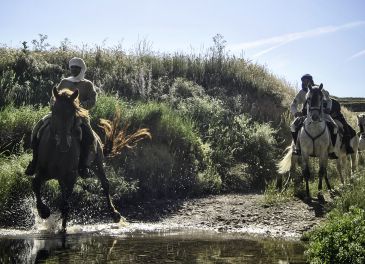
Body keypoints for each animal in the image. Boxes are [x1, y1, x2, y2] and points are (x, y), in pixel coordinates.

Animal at [32, 87, 121, 231]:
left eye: (72, 114)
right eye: (54, 111)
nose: (64, 144)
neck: (57, 152)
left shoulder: (70, 176)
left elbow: (65, 204)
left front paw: (62, 228)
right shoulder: (44, 172)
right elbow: (35, 184)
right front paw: (43, 211)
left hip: (97, 163)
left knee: (105, 184)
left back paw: (115, 214)